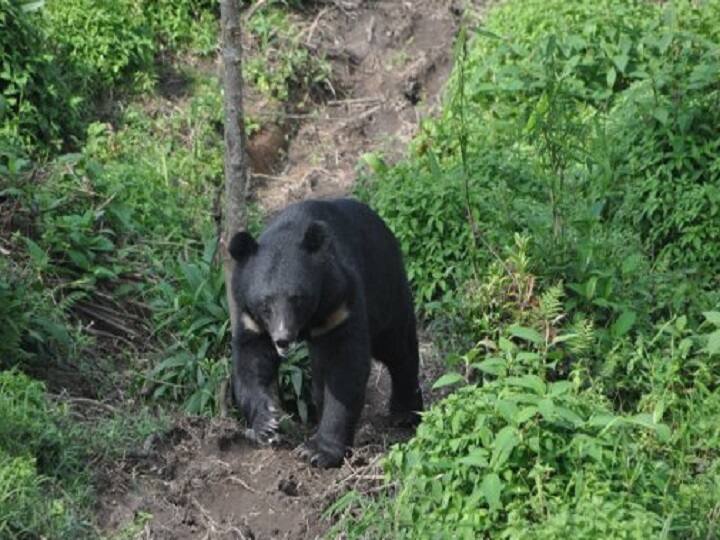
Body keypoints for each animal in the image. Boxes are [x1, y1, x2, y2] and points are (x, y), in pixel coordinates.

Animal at [229, 198, 422, 468]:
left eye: (297, 298)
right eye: (264, 303)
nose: (282, 339)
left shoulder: (340, 304)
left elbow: (344, 367)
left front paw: (317, 451)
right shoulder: (250, 318)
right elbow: (251, 361)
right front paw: (266, 423)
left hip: (384, 283)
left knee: (398, 347)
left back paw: (405, 412)